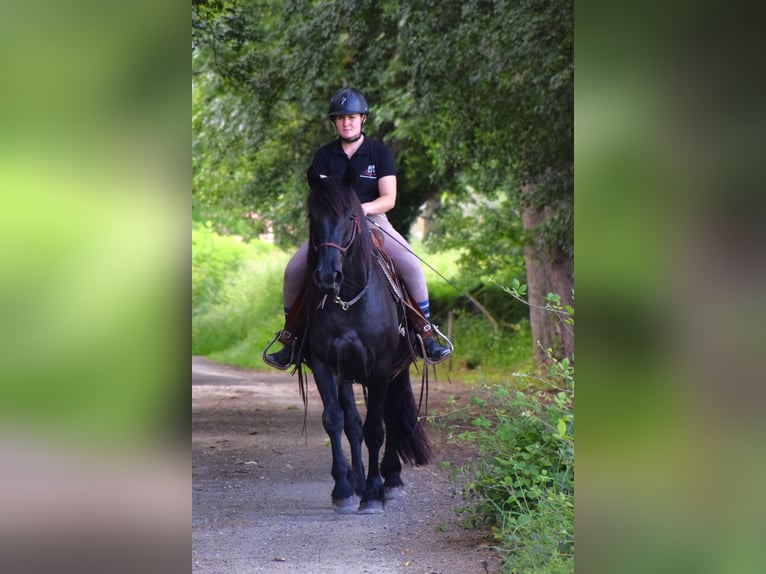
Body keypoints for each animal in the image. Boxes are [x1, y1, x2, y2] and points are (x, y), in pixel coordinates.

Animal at [298, 164, 432, 516]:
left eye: (349, 216)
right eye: (312, 216)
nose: (327, 276)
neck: (348, 297)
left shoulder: (382, 368)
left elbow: (375, 428)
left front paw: (373, 493)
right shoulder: (326, 365)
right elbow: (337, 421)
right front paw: (345, 489)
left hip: (397, 371)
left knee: (389, 417)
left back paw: (392, 480)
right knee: (354, 423)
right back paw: (357, 481)